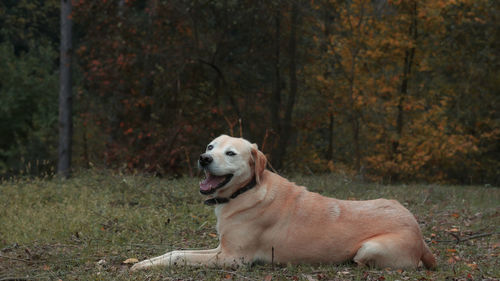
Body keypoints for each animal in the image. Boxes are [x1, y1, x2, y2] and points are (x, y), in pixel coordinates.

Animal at [131, 135, 436, 270]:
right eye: (210, 147)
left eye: (230, 153)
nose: (203, 158)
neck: (245, 192)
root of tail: (419, 234)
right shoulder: (221, 248)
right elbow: (176, 251)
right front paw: (145, 262)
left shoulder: (233, 258)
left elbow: (180, 256)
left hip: (369, 248)